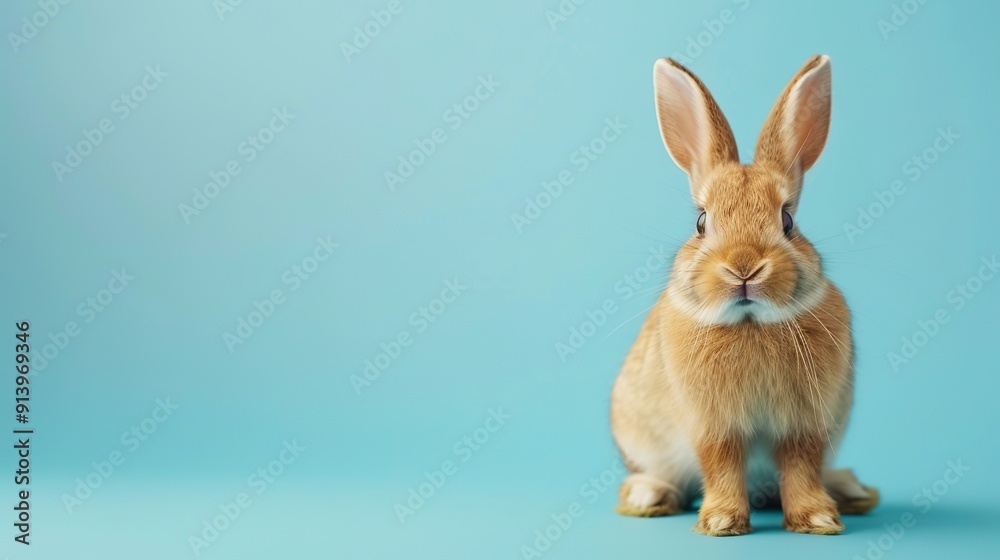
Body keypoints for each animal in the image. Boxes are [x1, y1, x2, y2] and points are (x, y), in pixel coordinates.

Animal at [609, 55, 878, 536]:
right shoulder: (713, 426)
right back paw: (648, 495)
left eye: (788, 221)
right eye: (701, 222)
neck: (751, 322)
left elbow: (801, 466)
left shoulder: (805, 425)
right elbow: (720, 464)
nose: (744, 267)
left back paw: (848, 489)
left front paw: (818, 518)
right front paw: (721, 522)